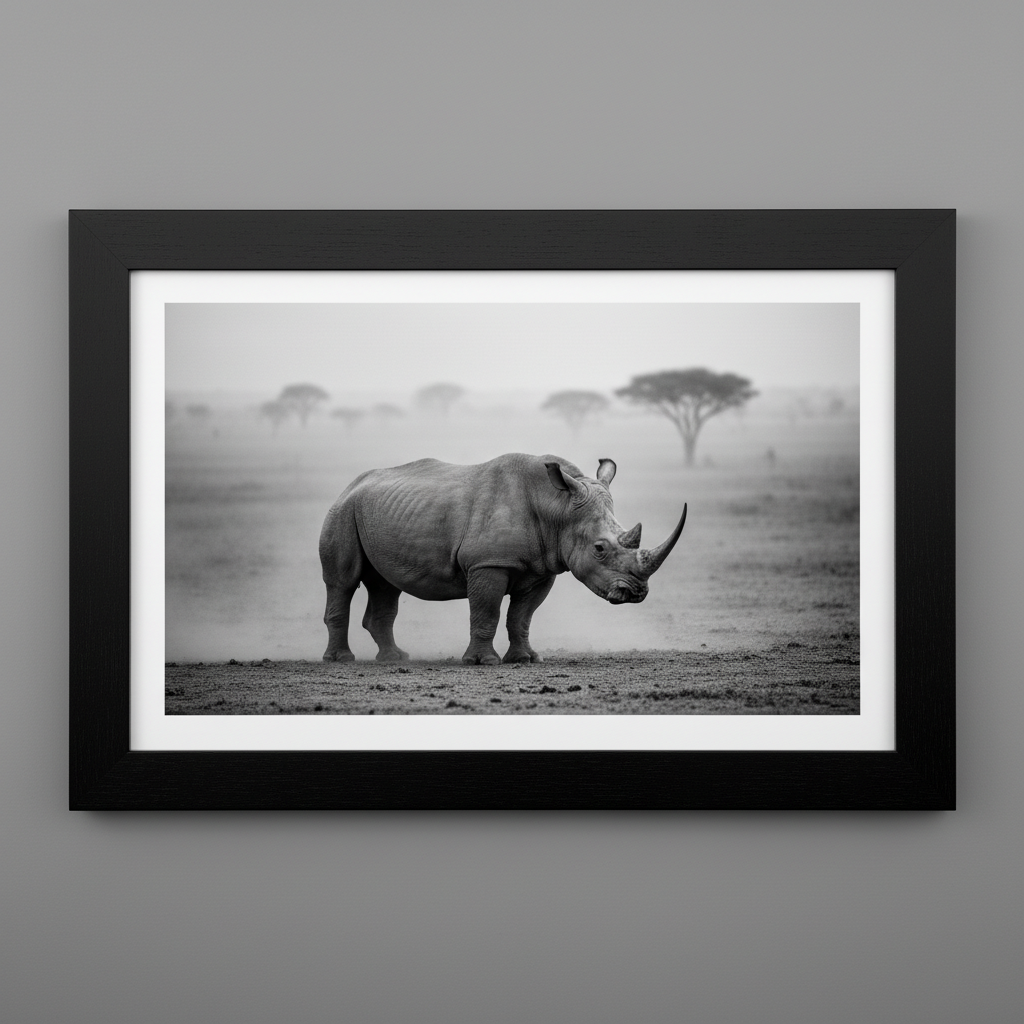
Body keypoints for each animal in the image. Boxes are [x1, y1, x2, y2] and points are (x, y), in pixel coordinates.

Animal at [319, 453, 686, 665]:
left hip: (375, 512)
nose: (636, 593)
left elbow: (521, 616)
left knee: (386, 584)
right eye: (599, 549)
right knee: (342, 581)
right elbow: (487, 612)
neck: (558, 506)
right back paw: (341, 660)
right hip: (342, 511)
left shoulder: (542, 568)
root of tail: (351, 484)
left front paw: (525, 659)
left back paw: (394, 659)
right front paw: (483, 663)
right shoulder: (488, 563)